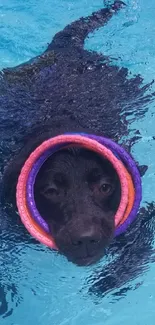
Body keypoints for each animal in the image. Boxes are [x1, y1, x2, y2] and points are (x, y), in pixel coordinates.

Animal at [0, 0, 155, 314]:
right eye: (50, 191)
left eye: (105, 187)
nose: (86, 239)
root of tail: (63, 48)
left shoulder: (140, 220)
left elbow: (139, 248)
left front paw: (109, 282)